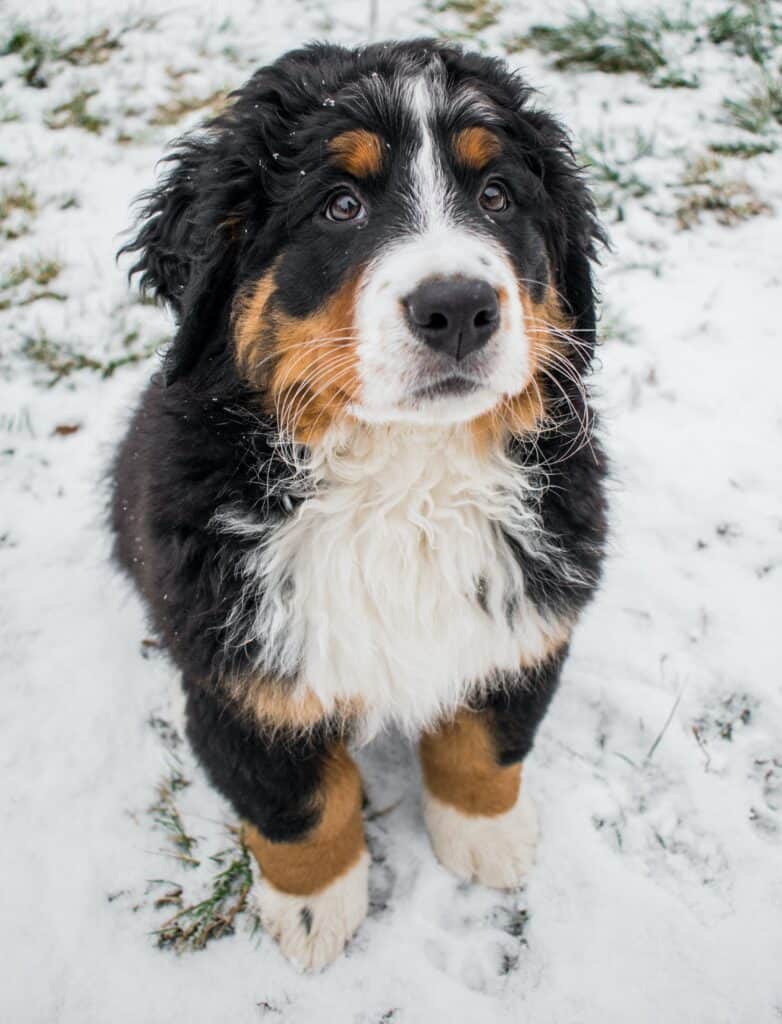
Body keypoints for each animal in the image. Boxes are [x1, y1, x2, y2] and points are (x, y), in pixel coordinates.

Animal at [113, 39, 605, 966]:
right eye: (340, 205)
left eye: (497, 196)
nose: (458, 308)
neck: (400, 484)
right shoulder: (244, 681)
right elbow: (301, 804)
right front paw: (314, 909)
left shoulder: (528, 613)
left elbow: (486, 742)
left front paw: (486, 836)